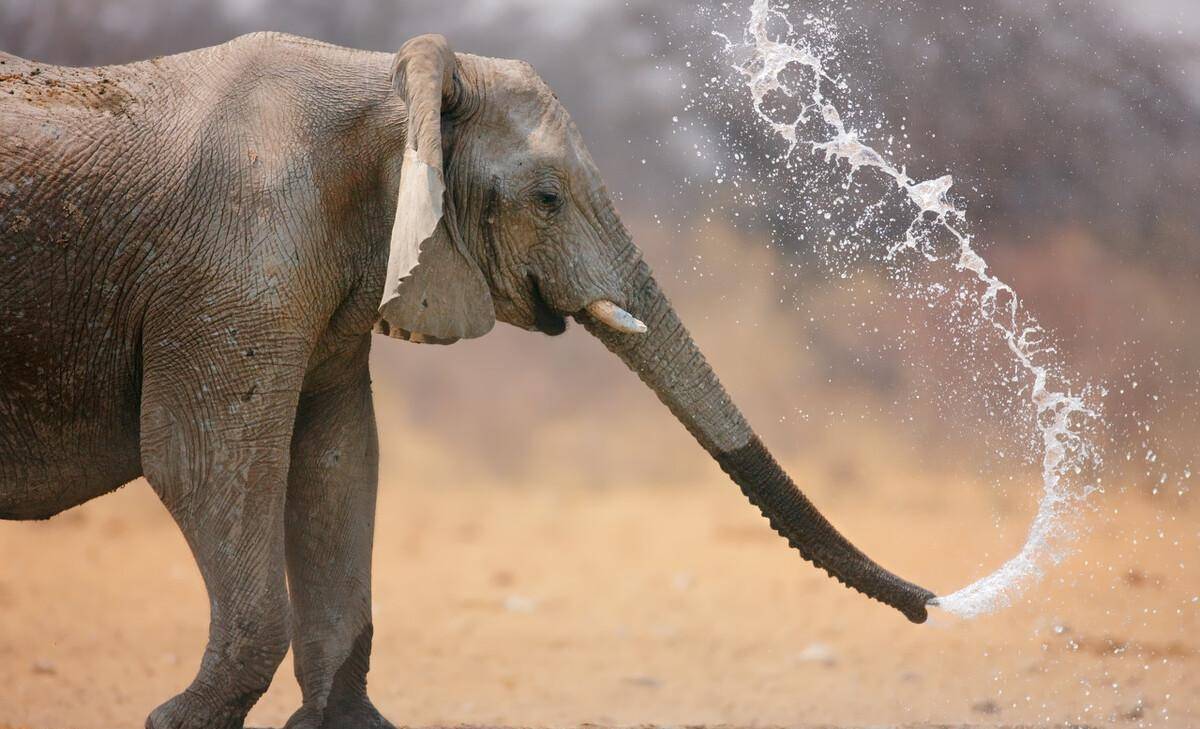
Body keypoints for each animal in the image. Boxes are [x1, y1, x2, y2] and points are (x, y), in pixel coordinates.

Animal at [0, 32, 934, 729]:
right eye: (548, 198)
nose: (932, 605)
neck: (390, 81)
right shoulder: (234, 265)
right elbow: (204, 464)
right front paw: (177, 719)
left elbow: (337, 462)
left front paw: (344, 721)